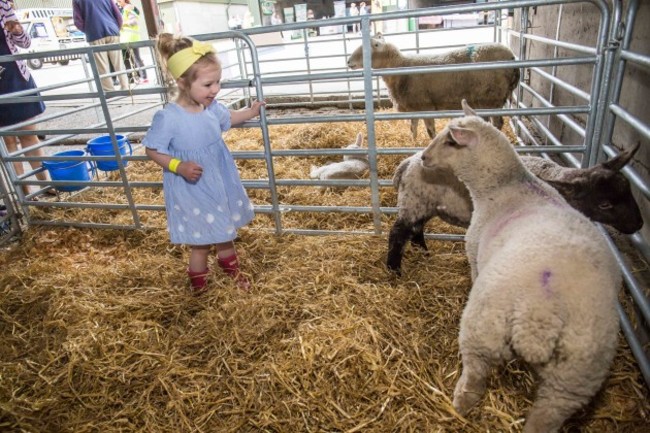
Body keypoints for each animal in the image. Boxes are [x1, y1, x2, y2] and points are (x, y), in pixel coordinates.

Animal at [346, 34, 520, 138]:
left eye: (372, 46)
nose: (348, 62)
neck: (401, 68)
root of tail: (512, 57)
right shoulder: (414, 108)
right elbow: (413, 129)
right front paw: (413, 142)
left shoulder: (426, 107)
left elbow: (430, 132)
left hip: (491, 98)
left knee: (498, 123)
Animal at [388, 145, 640, 274]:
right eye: (604, 203)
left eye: (629, 189)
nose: (638, 224)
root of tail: (408, 163)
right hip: (415, 201)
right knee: (398, 232)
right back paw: (394, 268)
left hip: (422, 202)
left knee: (416, 228)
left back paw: (423, 251)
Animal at [418, 99, 620, 430]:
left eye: (450, 142)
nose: (423, 157)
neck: (504, 187)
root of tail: (539, 318)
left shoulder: (474, 252)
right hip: (575, 377)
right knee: (545, 417)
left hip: (482, 330)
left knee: (474, 374)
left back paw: (460, 403)